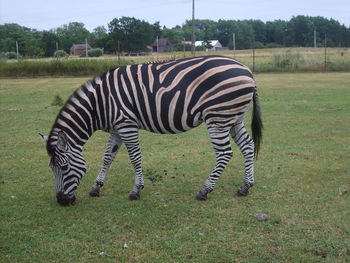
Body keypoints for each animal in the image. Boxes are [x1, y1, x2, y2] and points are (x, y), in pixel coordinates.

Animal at [39, 56, 262, 206]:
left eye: (64, 167)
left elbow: (135, 157)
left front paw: (136, 190)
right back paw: (245, 186)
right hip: (233, 118)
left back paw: (204, 190)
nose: (61, 201)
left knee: (225, 153)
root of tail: (247, 71)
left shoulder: (127, 125)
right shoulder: (116, 128)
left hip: (218, 117)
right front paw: (96, 187)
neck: (99, 105)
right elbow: (107, 157)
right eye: (51, 169)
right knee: (248, 146)